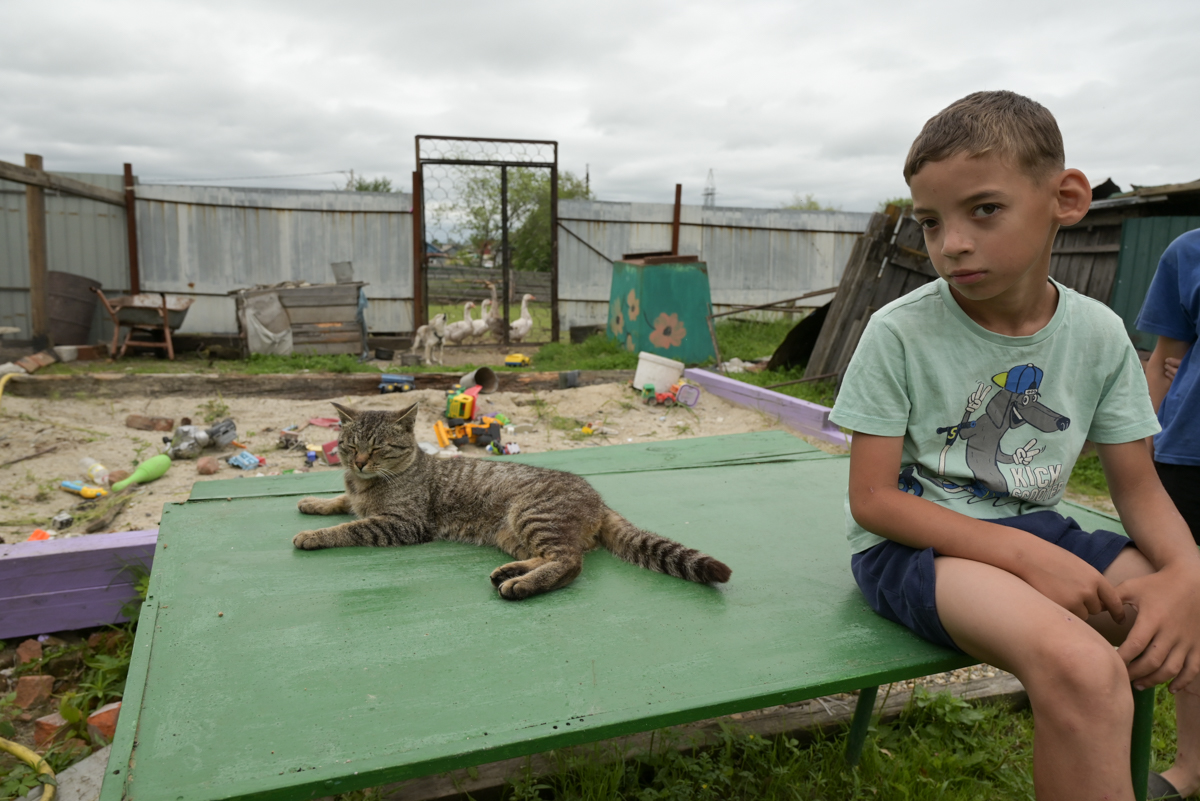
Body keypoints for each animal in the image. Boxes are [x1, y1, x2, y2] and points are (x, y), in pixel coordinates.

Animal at [295, 402, 734, 597]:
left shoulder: (402, 523)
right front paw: (313, 502)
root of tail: (597, 497)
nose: (360, 462)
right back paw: (512, 572)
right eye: (349, 445)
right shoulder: (357, 496)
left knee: (570, 562)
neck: (366, 484)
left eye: (379, 447)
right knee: (558, 555)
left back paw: (521, 585)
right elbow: (341, 502)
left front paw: (314, 534)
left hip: (531, 514)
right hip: (514, 533)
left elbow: (350, 526)